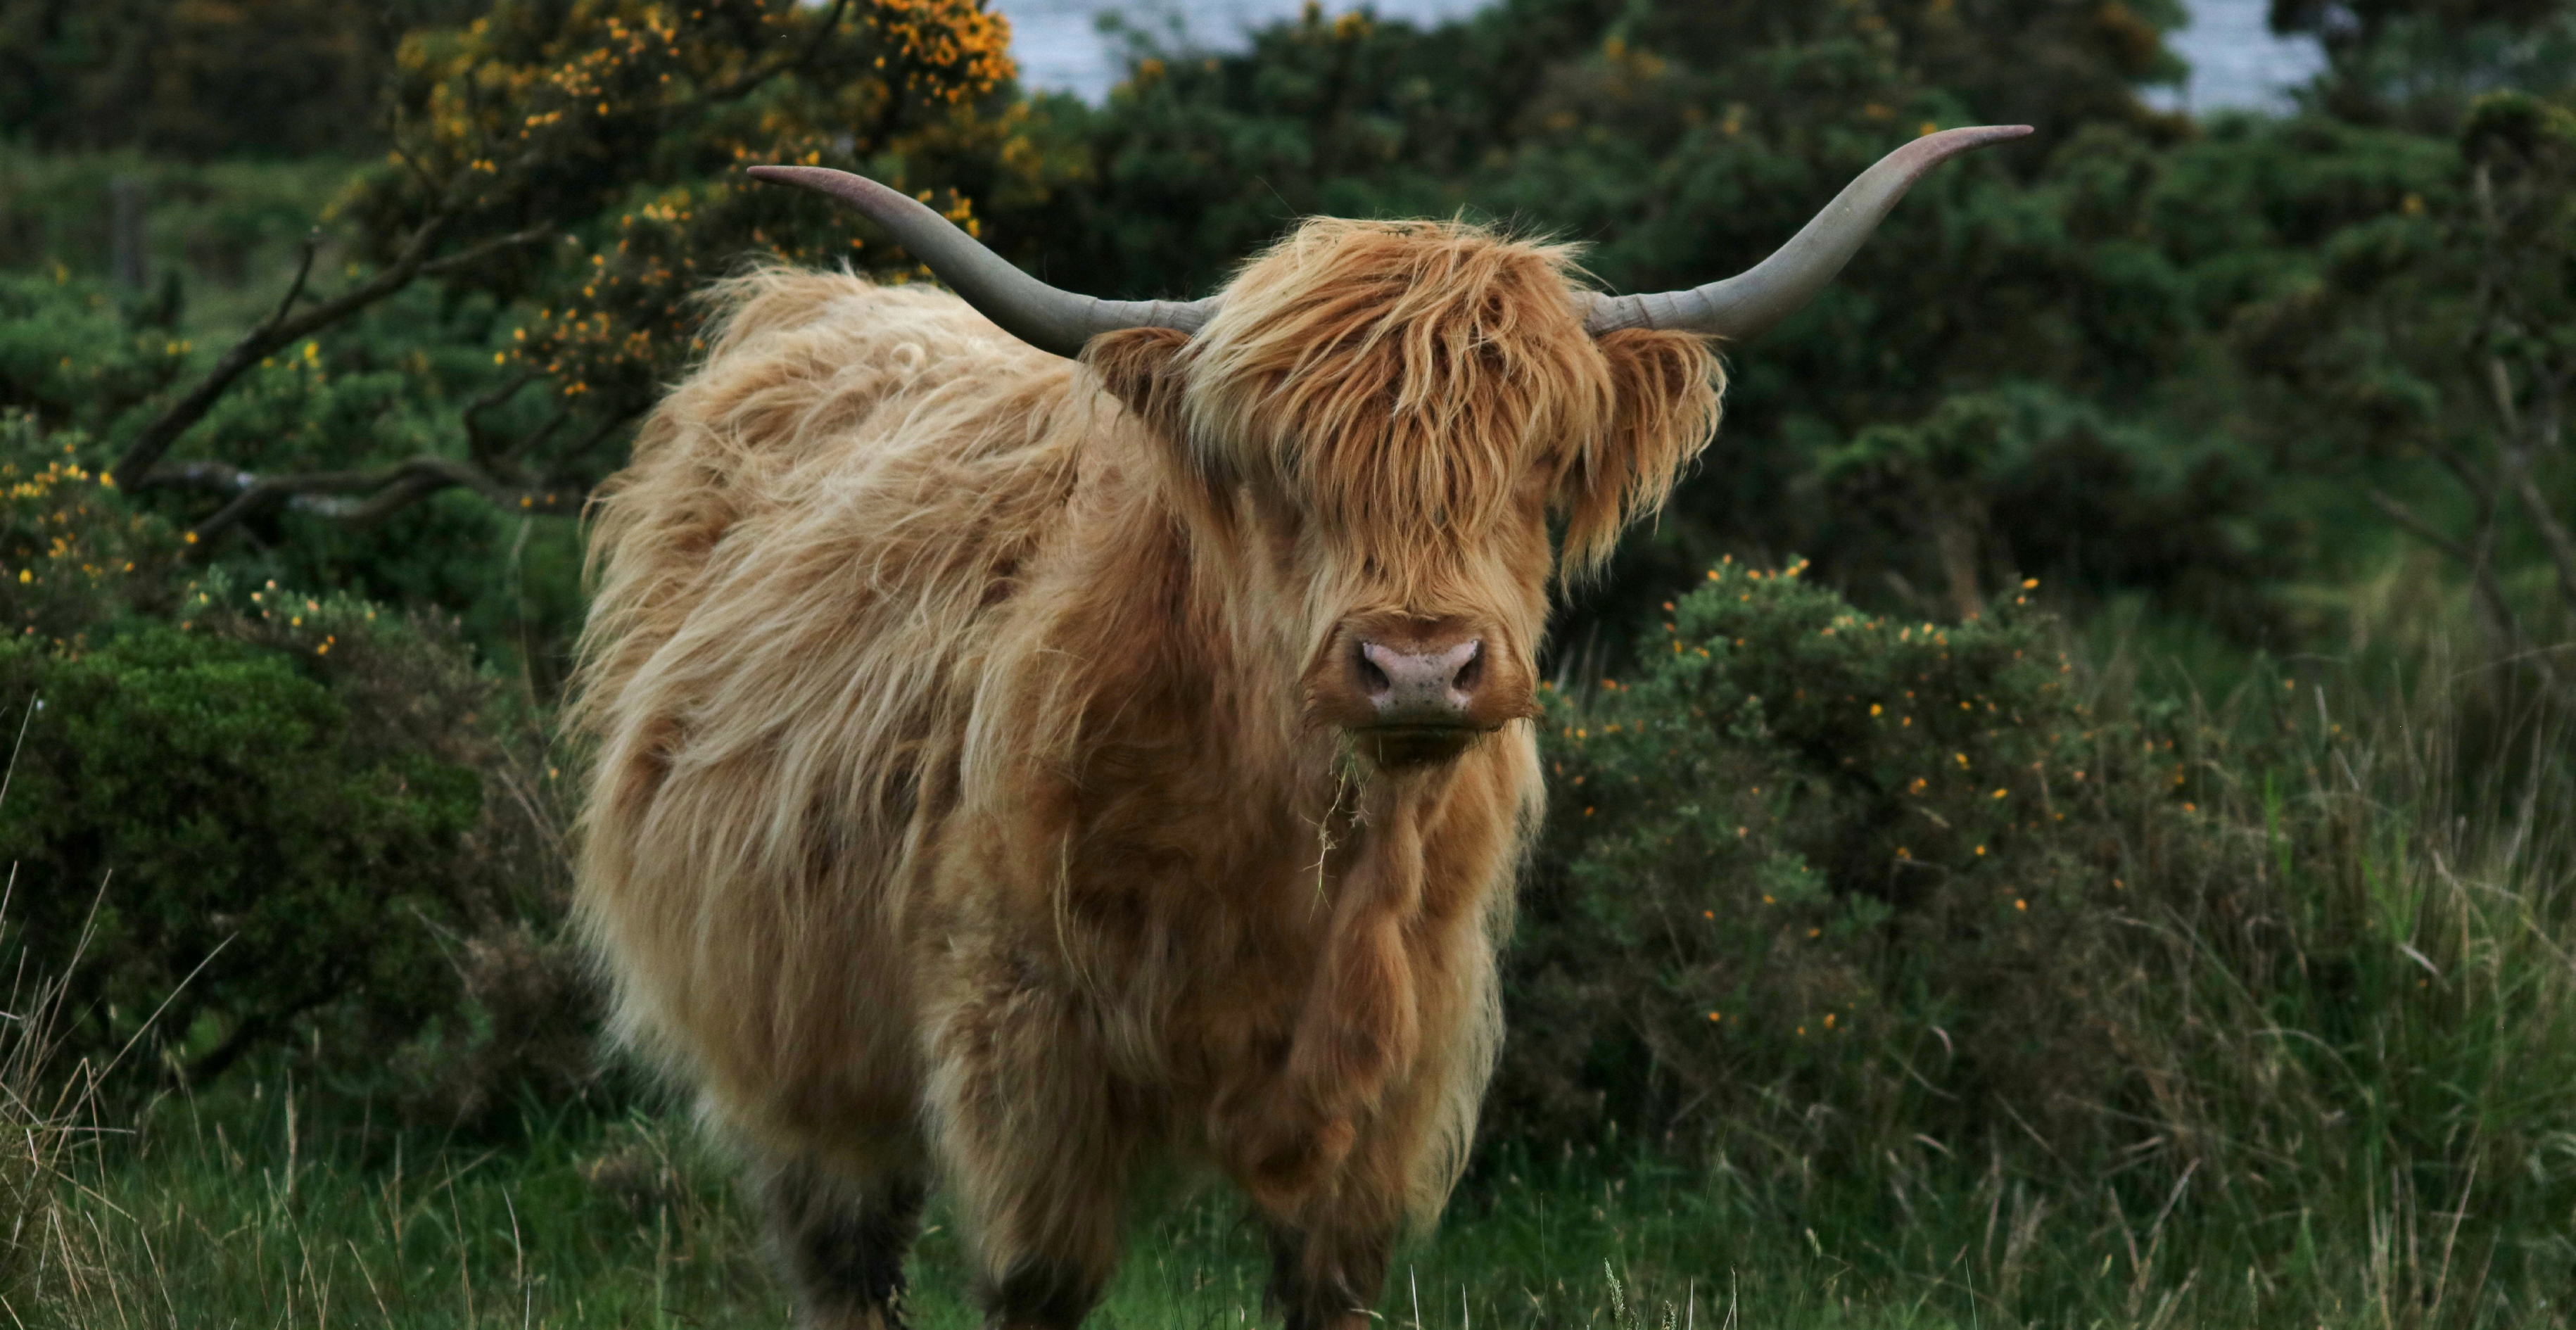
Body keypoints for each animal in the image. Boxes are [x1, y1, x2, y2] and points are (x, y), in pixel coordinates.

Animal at [570, 124, 2027, 1330]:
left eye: (1537, 468)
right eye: (1280, 474)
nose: (1420, 666)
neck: (1289, 845)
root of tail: (815, 299)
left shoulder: (1398, 1073)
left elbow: (1332, 1281)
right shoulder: (1024, 1051)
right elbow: (1038, 1282)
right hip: (788, 1041)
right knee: (843, 1255)